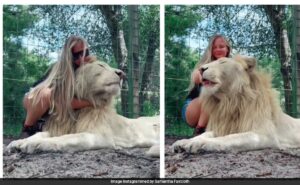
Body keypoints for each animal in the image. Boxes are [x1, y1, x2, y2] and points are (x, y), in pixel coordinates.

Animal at [7, 62, 159, 158]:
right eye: (101, 65)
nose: (122, 73)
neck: (77, 110)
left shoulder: (101, 137)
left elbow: (70, 137)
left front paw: (35, 144)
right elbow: (42, 133)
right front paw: (18, 143)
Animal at [172, 56, 300, 153]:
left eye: (222, 62)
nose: (201, 69)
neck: (229, 102)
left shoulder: (265, 135)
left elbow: (230, 138)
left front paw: (199, 143)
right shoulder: (223, 126)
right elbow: (205, 134)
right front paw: (184, 142)